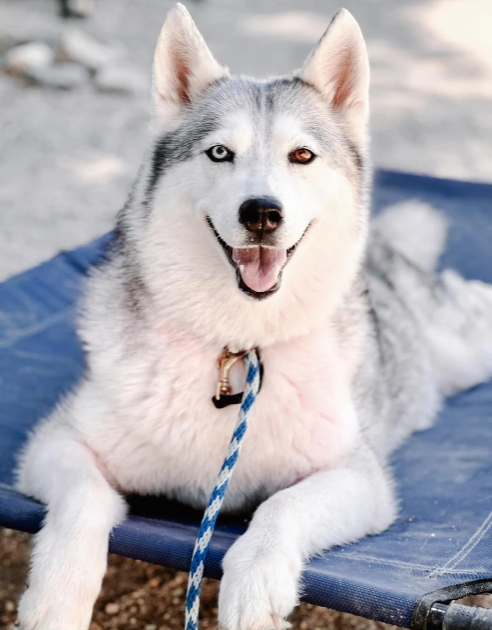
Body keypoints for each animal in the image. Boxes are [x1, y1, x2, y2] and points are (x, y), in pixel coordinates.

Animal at [15, 6, 492, 630]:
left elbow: (282, 506)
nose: (262, 212)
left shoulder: (357, 476)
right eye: (220, 153)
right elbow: (84, 499)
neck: (238, 342)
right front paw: (57, 594)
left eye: (302, 155)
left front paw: (255, 582)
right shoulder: (56, 443)